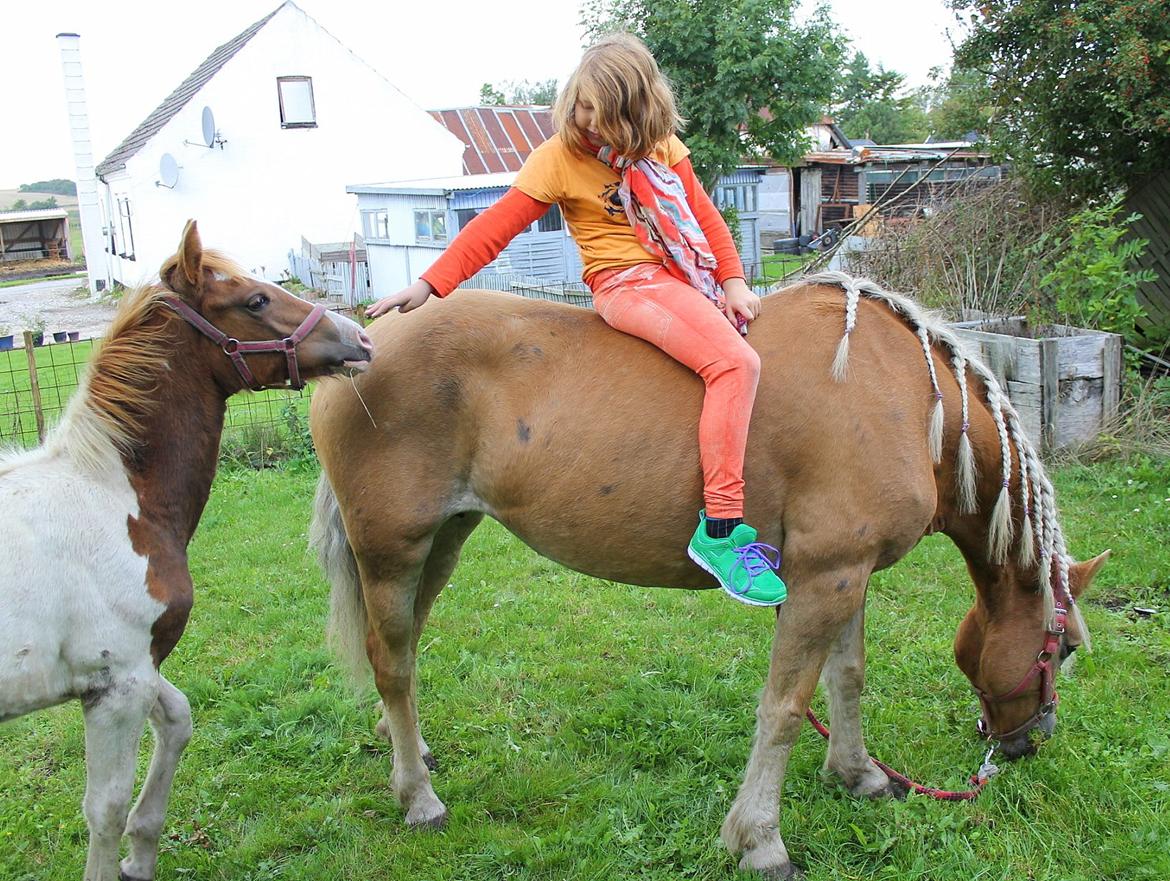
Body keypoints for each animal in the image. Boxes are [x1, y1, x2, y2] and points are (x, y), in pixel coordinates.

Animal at [0, 221, 369, 879]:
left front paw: (140, 857)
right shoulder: (116, 683)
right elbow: (105, 809)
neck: (117, 497)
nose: (359, 338)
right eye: (255, 300)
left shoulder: (141, 670)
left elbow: (177, 722)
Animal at [308, 271, 1104, 875]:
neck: (907, 396)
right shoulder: (825, 578)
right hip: (393, 550)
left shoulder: (850, 575)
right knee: (391, 662)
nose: (1028, 742)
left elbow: (847, 678)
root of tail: (365, 341)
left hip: (442, 541)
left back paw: (411, 755)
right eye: (1062, 647)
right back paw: (418, 797)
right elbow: (785, 708)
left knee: (403, 651)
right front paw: (760, 839)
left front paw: (858, 774)